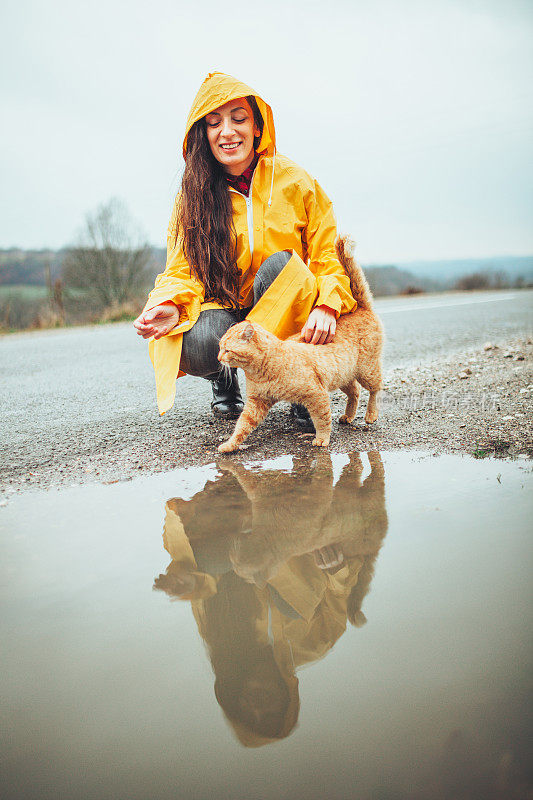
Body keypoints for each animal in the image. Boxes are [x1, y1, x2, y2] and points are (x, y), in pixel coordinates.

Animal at [216, 234, 382, 454]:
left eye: (226, 350)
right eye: (219, 348)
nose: (218, 357)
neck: (262, 371)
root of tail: (361, 308)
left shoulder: (316, 394)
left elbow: (322, 420)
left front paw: (321, 439)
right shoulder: (256, 403)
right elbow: (242, 426)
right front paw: (230, 445)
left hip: (367, 370)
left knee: (374, 390)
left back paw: (370, 415)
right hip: (344, 376)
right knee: (355, 392)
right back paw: (348, 416)